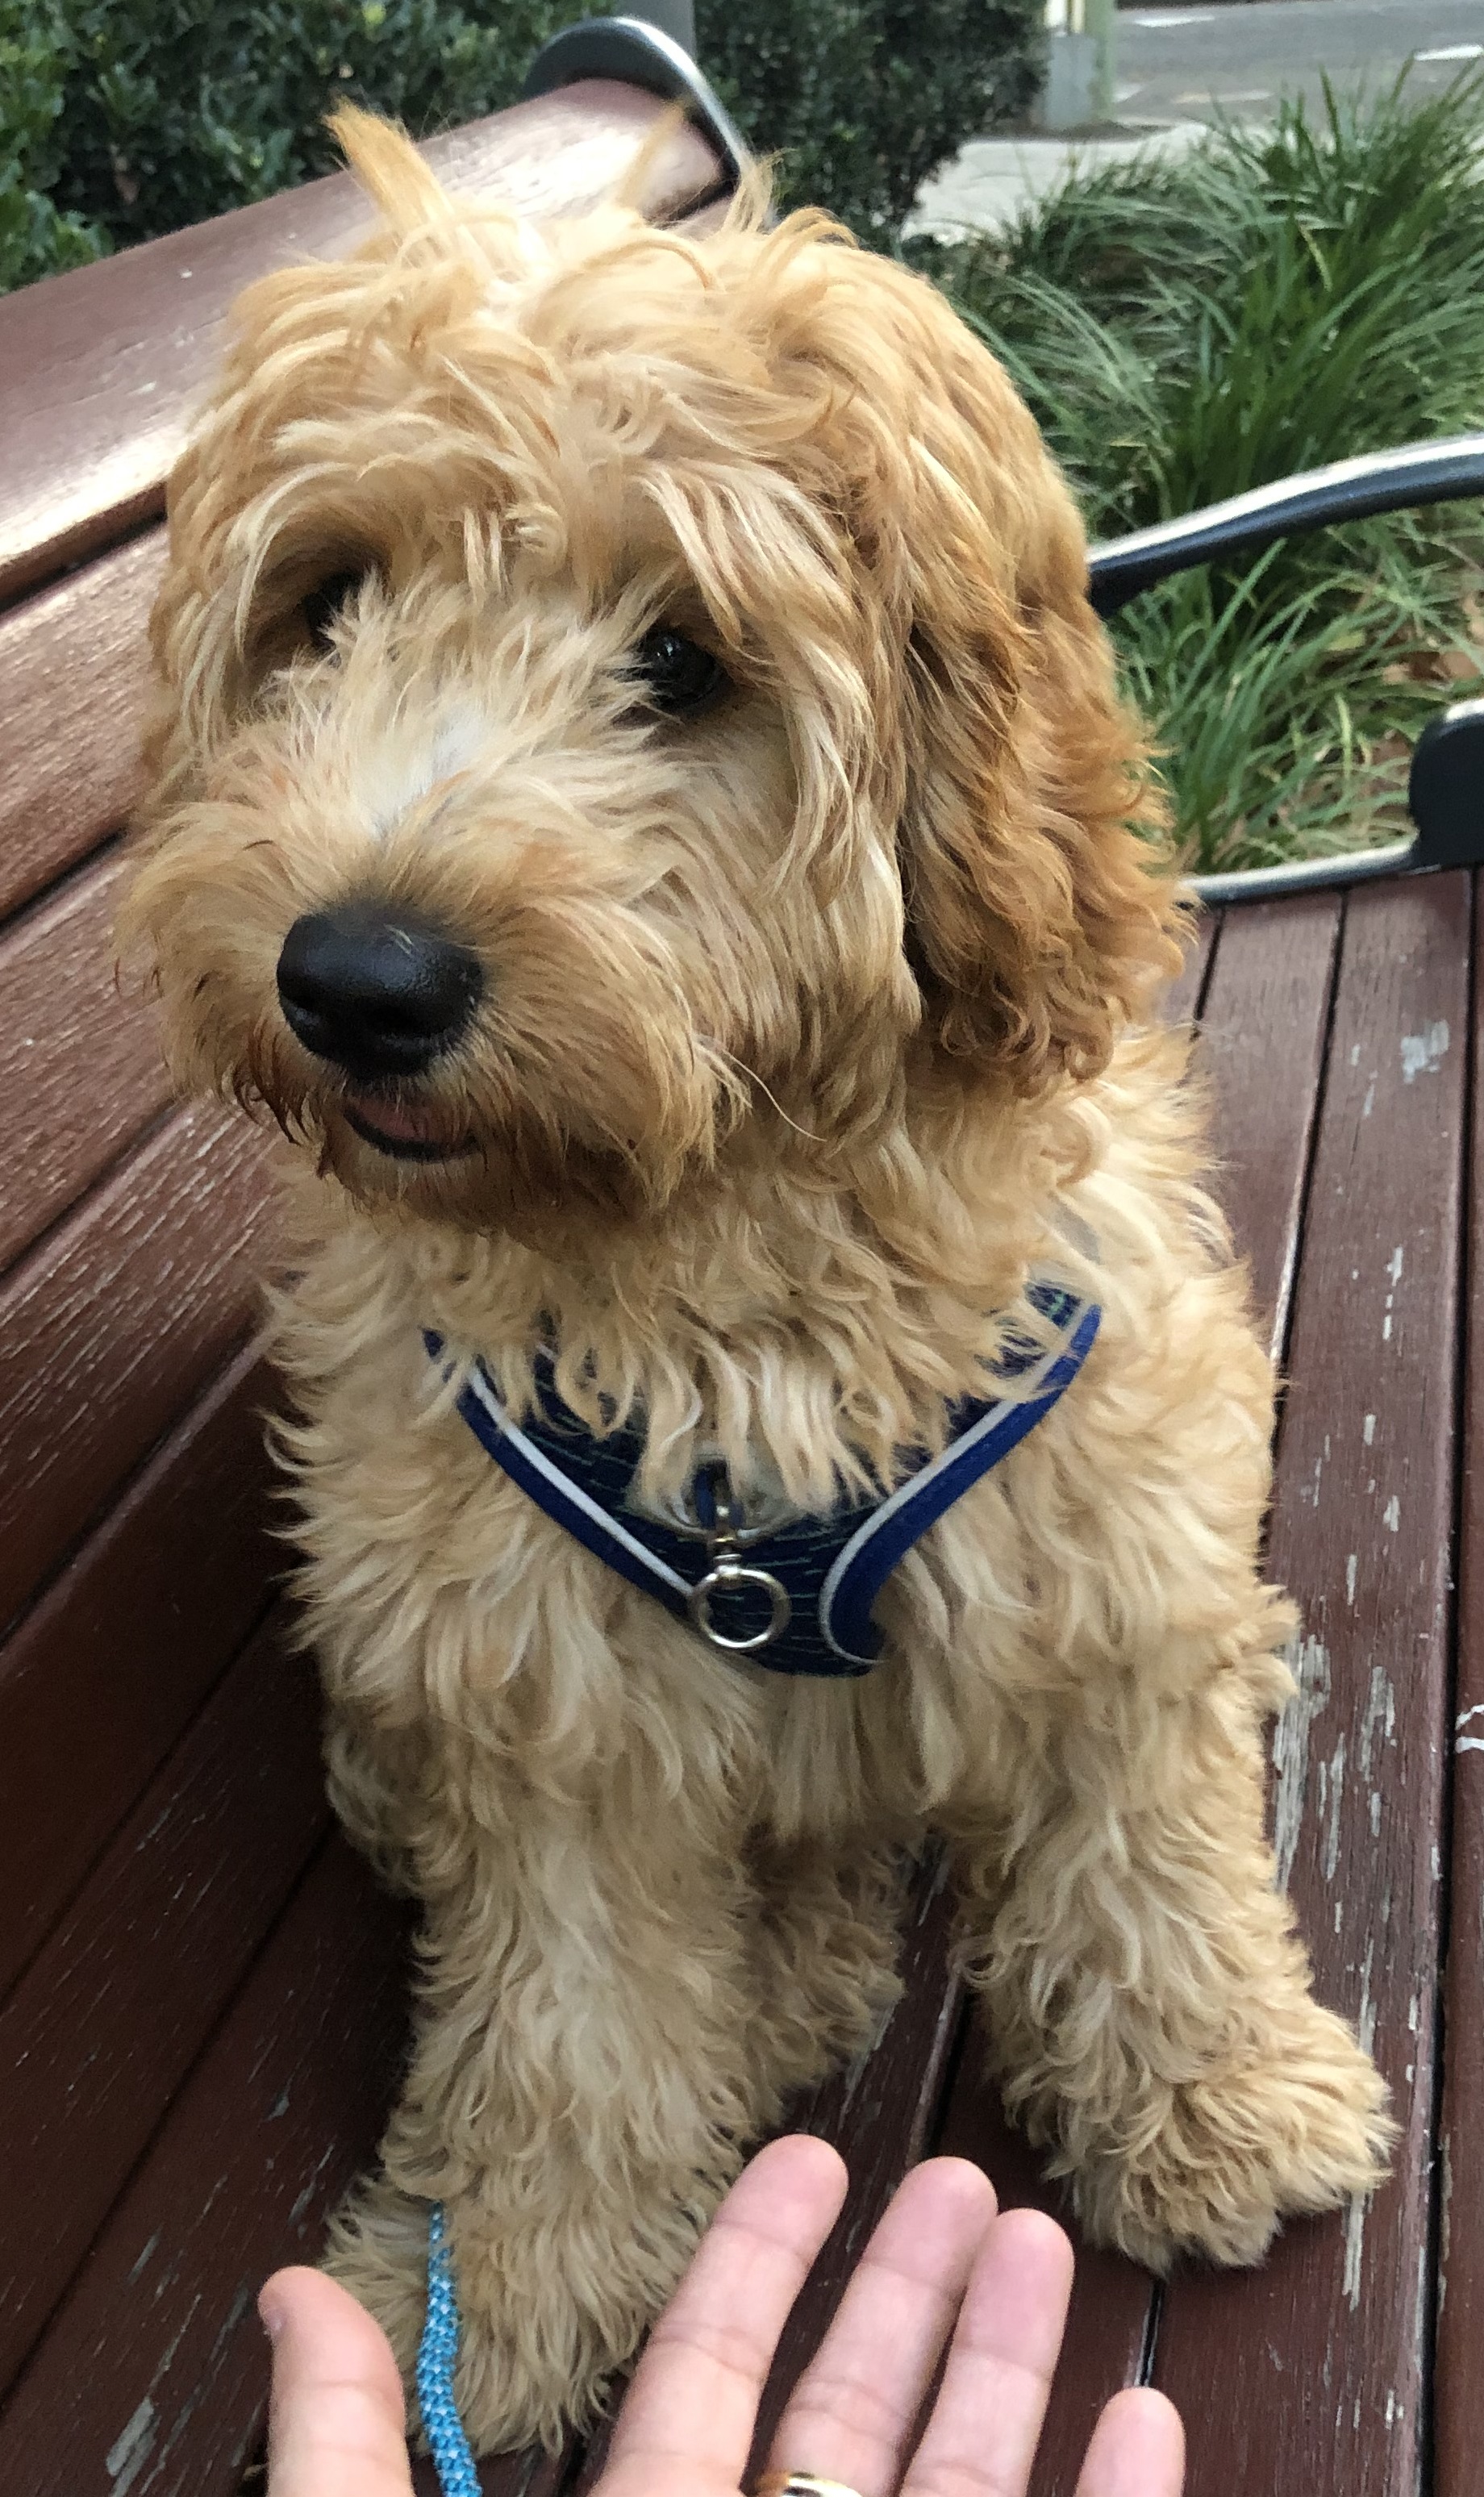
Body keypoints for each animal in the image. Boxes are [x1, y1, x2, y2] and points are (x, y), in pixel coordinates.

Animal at [121, 106, 1392, 2454]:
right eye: (324, 604)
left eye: (683, 659)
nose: (353, 979)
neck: (715, 1247)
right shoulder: (526, 1686)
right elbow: (556, 2028)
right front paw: (496, 2292)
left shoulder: (1102, 1541)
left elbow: (1145, 1855)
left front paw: (1217, 2104)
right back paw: (788, 1981)